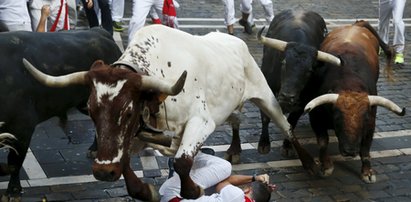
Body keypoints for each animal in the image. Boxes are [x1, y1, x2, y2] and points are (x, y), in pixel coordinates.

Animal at [22, 24, 310, 201]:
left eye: (128, 112)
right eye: (91, 111)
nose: (103, 173)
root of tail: (235, 40)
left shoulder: (201, 121)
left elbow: (183, 162)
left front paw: (194, 188)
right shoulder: (138, 135)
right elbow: (126, 163)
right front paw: (143, 189)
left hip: (265, 94)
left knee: (286, 125)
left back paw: (310, 162)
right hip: (230, 104)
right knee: (236, 119)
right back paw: (235, 149)